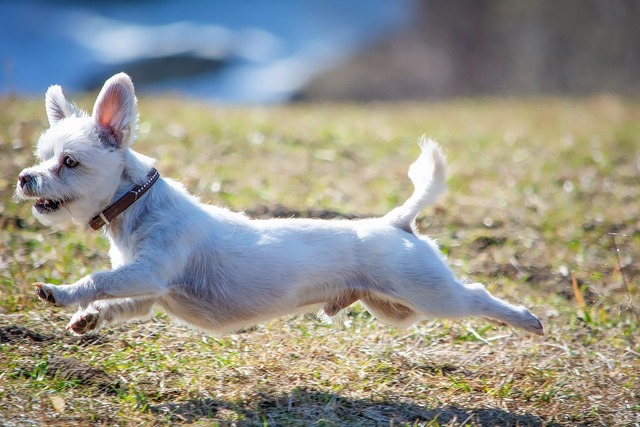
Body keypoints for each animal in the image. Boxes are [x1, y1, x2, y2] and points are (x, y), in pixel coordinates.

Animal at [15, 72, 544, 338]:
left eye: (69, 161)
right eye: (42, 156)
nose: (24, 178)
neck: (135, 208)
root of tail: (396, 223)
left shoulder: (151, 270)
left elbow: (97, 280)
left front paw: (62, 292)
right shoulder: (147, 290)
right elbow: (115, 301)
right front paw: (87, 317)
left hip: (431, 294)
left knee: (476, 295)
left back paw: (525, 320)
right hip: (395, 308)